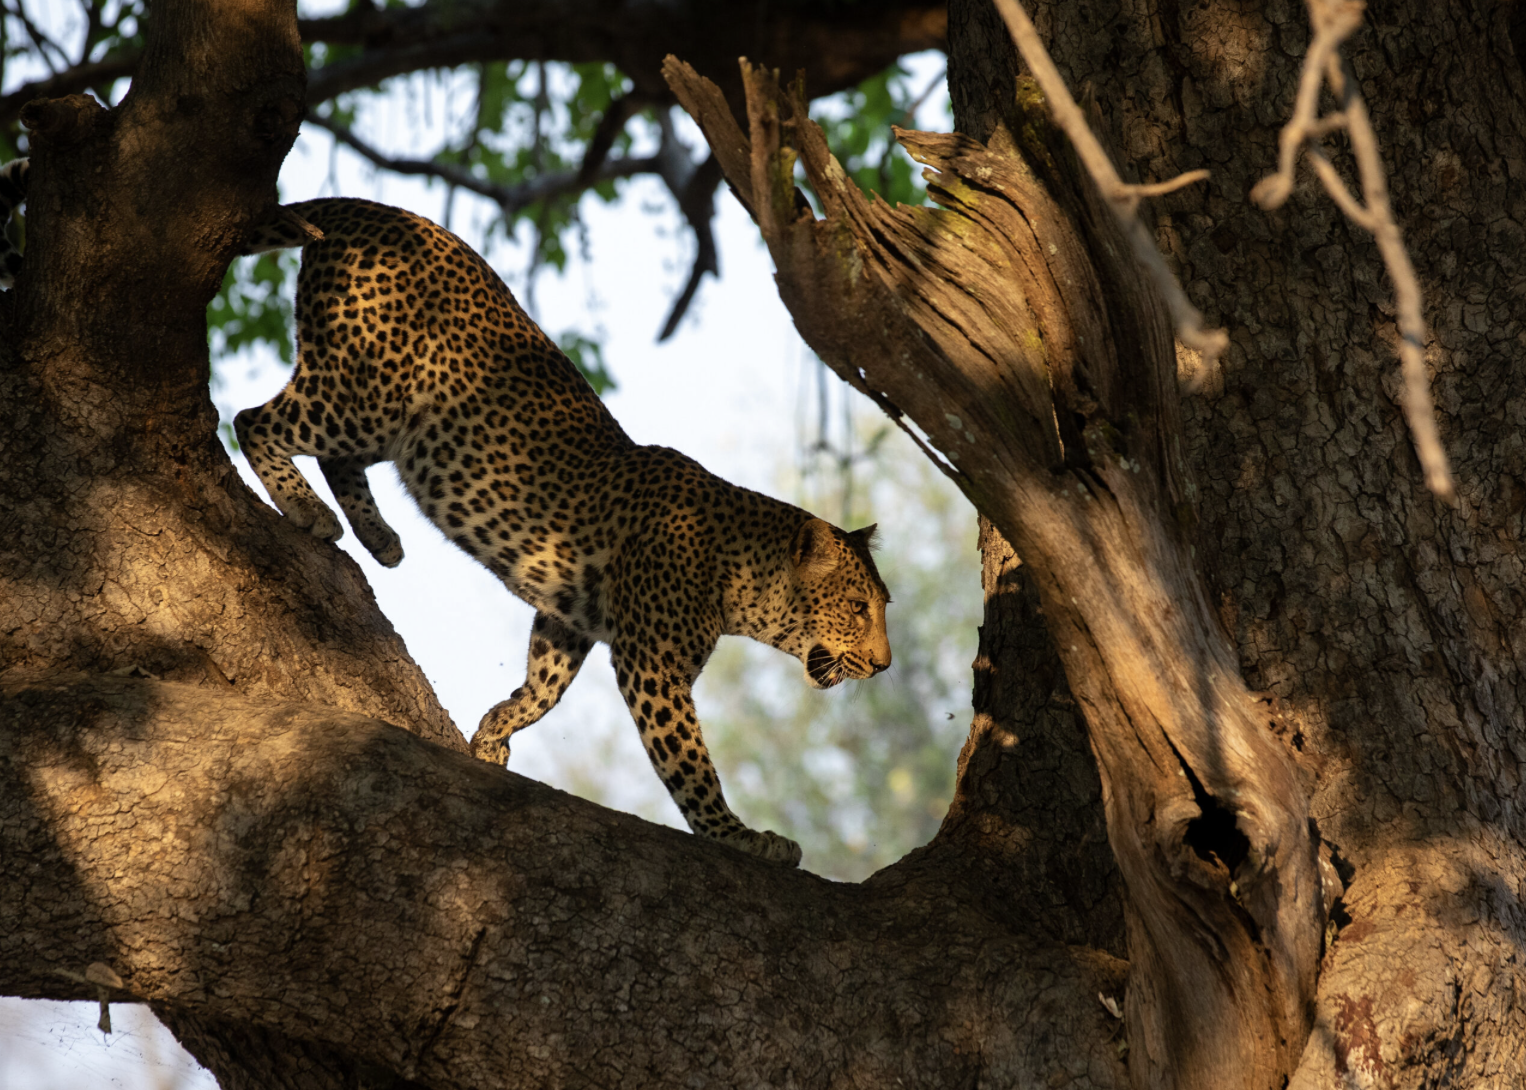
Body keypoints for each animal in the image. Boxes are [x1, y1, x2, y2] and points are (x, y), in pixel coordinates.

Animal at [226, 197, 893, 867]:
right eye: (859, 608)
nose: (884, 665)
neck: (738, 575)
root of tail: (369, 209)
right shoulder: (653, 665)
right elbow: (690, 764)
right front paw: (740, 836)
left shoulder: (570, 620)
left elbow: (544, 689)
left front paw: (494, 732)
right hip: (366, 393)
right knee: (254, 419)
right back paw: (305, 508)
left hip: (384, 420)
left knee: (336, 459)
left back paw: (380, 537)